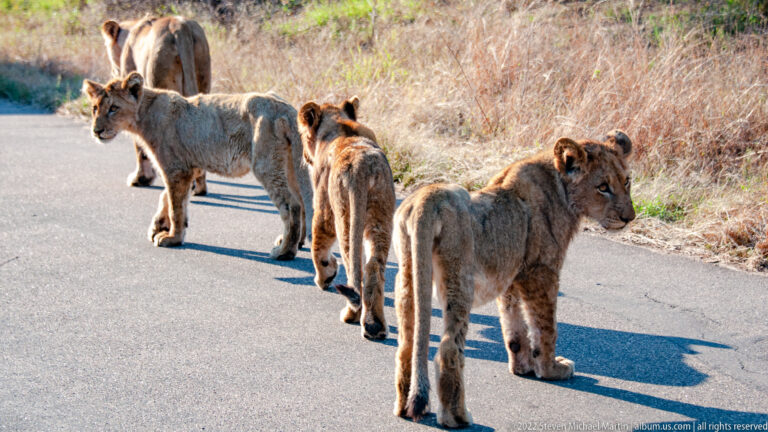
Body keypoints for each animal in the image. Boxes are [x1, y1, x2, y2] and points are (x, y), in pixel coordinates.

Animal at [82, 72, 310, 260]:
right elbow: (168, 197)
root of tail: (285, 109)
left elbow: (176, 206)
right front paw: (159, 226)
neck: (144, 113)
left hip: (266, 165)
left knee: (292, 205)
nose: (96, 131)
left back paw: (284, 252)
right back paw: (293, 242)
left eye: (113, 108)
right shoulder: (189, 166)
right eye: (95, 109)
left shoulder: (176, 169)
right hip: (289, 165)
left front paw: (172, 238)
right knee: (301, 201)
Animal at [100, 15, 211, 195]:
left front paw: (140, 179)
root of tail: (180, 27)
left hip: (158, 75)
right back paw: (199, 187)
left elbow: (139, 144)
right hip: (203, 72)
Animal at [297, 97, 395, 340]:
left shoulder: (323, 205)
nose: (303, 156)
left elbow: (318, 243)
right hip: (381, 216)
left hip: (345, 214)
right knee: (373, 266)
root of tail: (362, 166)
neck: (340, 126)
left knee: (354, 267)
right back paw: (374, 326)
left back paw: (352, 314)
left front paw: (325, 277)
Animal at [393, 131, 636, 427]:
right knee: (449, 348)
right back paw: (457, 417)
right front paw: (551, 369)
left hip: (407, 276)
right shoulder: (541, 272)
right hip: (459, 283)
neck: (562, 189)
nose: (629, 218)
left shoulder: (511, 275)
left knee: (407, 342)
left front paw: (523, 367)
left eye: (626, 181)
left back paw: (405, 407)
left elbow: (514, 325)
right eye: (602, 186)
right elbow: (546, 327)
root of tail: (427, 200)